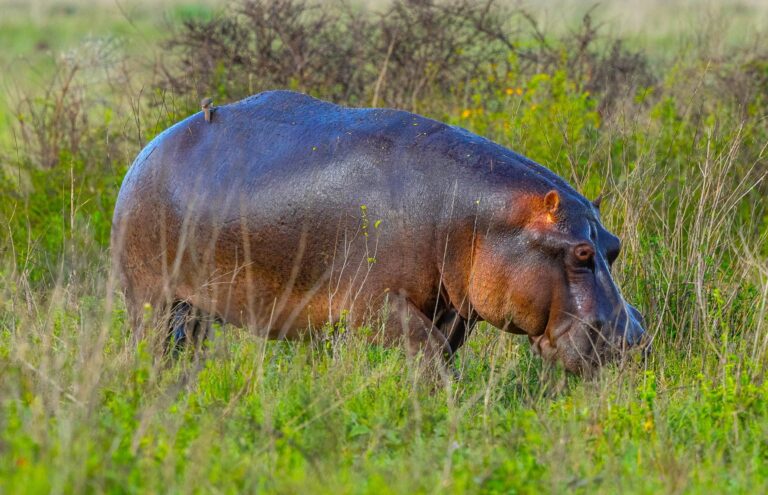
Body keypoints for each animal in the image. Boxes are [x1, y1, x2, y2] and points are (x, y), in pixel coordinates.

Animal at [111, 90, 646, 374]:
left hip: (193, 307)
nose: (633, 337)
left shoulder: (452, 309)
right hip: (150, 297)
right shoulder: (377, 304)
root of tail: (147, 150)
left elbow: (441, 353)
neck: (476, 218)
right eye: (580, 253)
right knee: (153, 345)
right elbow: (428, 352)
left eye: (614, 247)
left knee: (187, 346)